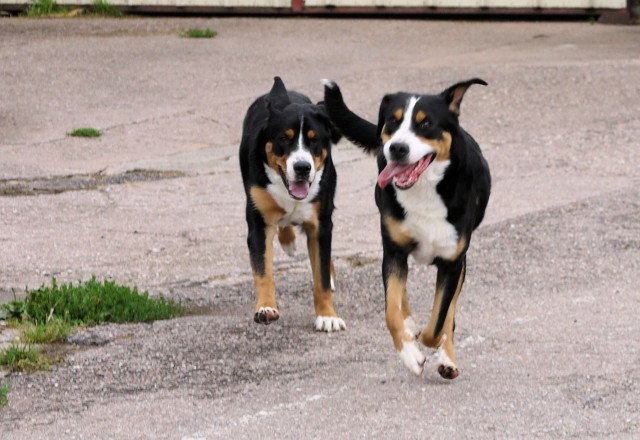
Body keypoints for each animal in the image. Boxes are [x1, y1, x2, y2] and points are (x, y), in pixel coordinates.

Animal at [239, 79, 344, 332]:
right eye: (284, 139)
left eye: (314, 139)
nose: (302, 167)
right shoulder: (259, 224)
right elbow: (263, 272)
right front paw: (266, 308)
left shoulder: (321, 225)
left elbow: (321, 276)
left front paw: (327, 315)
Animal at [322, 78, 492, 378]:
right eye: (393, 120)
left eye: (426, 123)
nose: (397, 148)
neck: (424, 188)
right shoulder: (394, 252)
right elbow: (391, 312)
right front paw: (410, 353)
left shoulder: (453, 263)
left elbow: (440, 322)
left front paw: (438, 348)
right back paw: (410, 324)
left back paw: (446, 358)